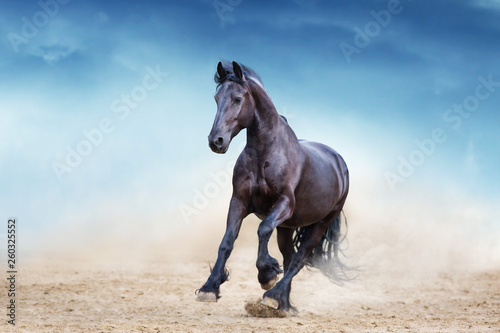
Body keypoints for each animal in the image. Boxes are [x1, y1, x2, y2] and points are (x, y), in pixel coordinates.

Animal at [193, 60, 350, 312]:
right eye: (216, 98)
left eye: (238, 98)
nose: (216, 141)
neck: (264, 155)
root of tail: (338, 161)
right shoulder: (239, 201)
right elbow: (227, 242)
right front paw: (209, 288)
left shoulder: (284, 203)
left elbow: (263, 229)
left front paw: (266, 275)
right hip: (287, 227)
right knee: (289, 256)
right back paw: (283, 304)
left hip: (320, 223)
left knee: (299, 258)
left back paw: (273, 296)